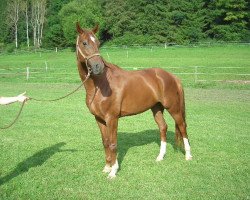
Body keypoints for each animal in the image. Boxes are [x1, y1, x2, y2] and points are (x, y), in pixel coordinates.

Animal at [75, 23, 192, 178]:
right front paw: (107, 167)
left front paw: (113, 171)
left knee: (182, 126)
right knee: (163, 127)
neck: (100, 85)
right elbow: (105, 142)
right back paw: (160, 157)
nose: (98, 67)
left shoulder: (112, 118)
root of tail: (172, 76)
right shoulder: (99, 119)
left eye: (98, 43)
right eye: (84, 43)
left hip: (173, 107)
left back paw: (188, 156)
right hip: (156, 108)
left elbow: (113, 143)